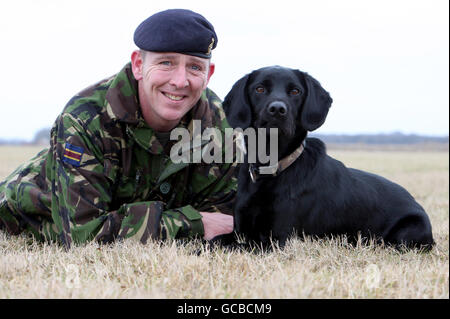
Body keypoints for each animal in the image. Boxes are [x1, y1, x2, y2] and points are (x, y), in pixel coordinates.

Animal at [216, 66, 434, 251]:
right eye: (259, 89)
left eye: (295, 91)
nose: (277, 109)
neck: (271, 166)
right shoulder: (240, 230)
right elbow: (217, 239)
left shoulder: (277, 240)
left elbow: (229, 245)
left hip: (409, 229)